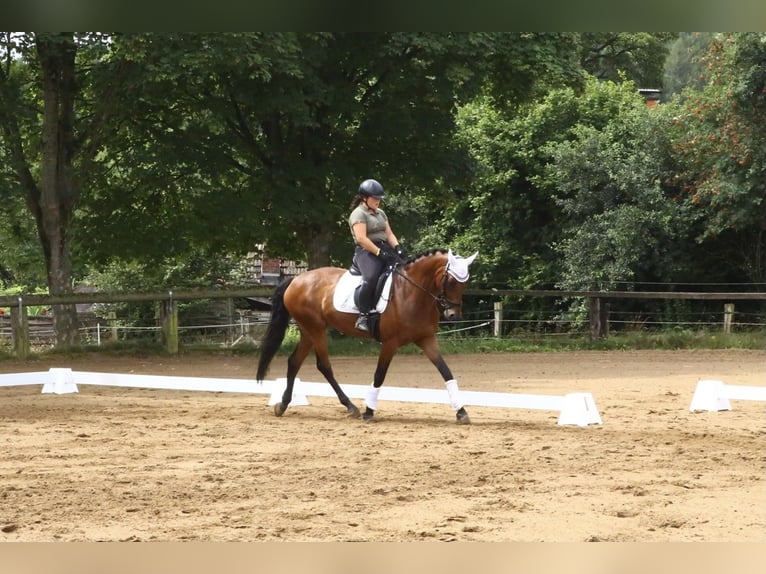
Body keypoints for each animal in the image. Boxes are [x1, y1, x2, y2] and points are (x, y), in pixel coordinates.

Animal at [255, 248, 479, 424]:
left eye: (465, 283)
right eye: (450, 281)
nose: (454, 315)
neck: (412, 292)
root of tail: (296, 279)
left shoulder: (426, 339)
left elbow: (446, 372)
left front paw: (461, 412)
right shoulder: (390, 343)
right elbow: (379, 375)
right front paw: (369, 411)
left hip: (308, 330)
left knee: (294, 362)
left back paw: (283, 405)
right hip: (316, 329)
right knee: (323, 365)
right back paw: (350, 406)